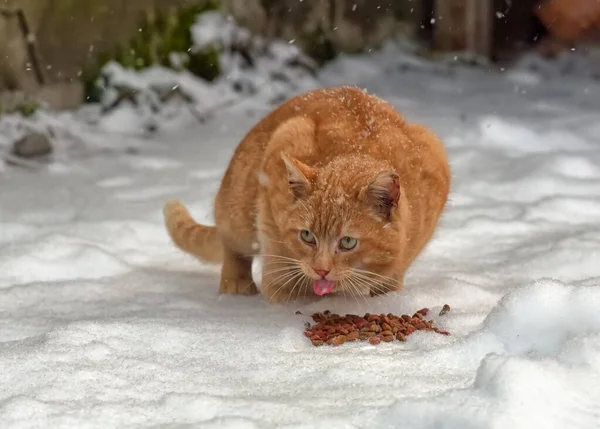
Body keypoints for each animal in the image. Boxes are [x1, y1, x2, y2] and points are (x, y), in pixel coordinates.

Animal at [164, 85, 450, 302]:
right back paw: (236, 284)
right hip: (239, 213)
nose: (321, 270)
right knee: (233, 246)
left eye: (348, 242)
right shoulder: (284, 141)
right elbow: (280, 271)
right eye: (307, 236)